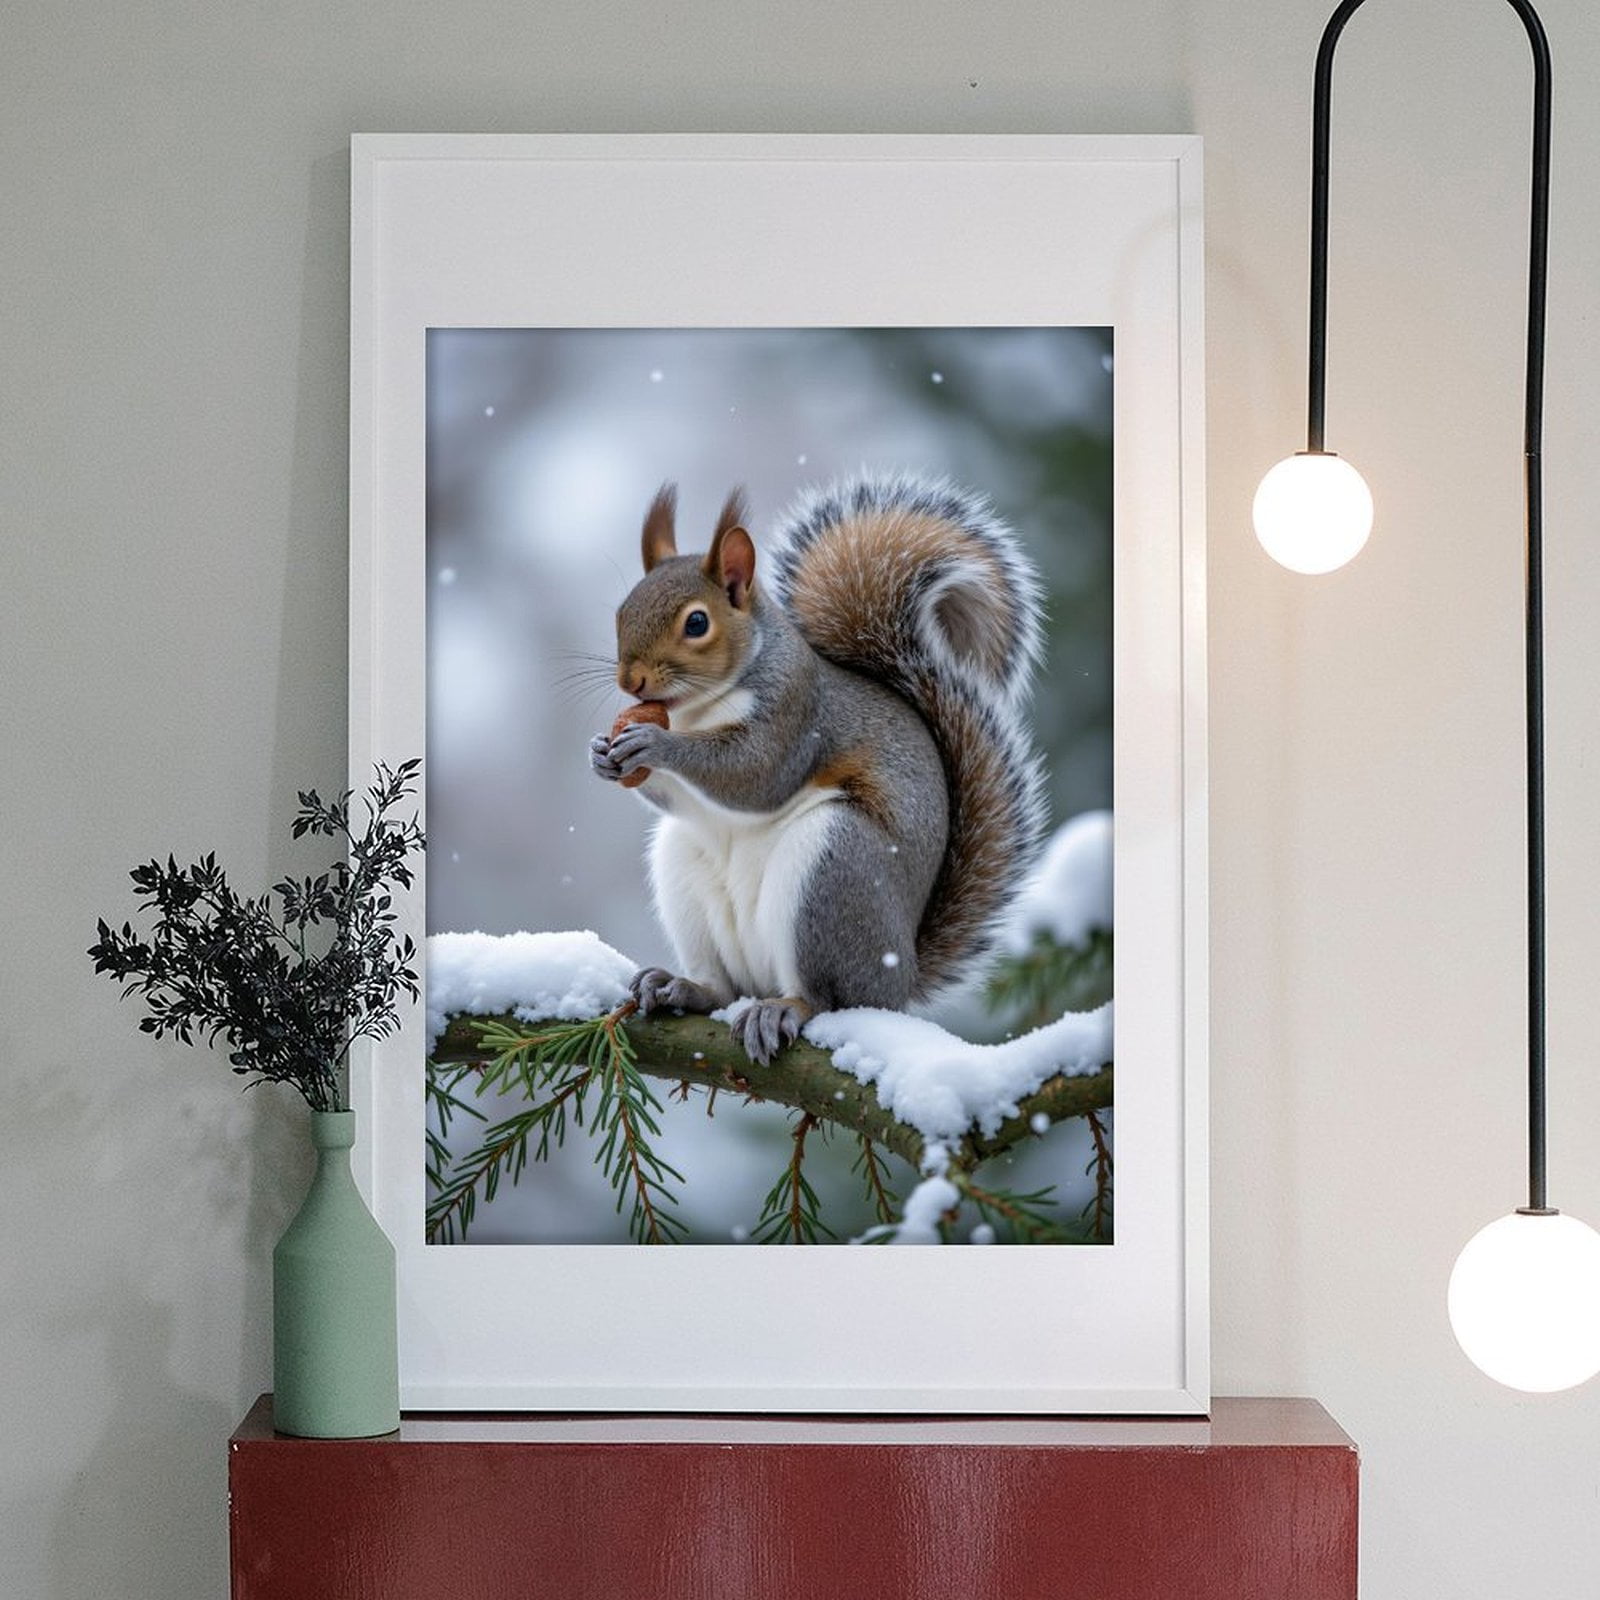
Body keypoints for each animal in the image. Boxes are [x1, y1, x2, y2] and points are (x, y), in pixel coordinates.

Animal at [589, 472, 1046, 1065]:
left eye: (697, 622)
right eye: (621, 612)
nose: (632, 681)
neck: (697, 709)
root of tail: (900, 983)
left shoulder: (795, 715)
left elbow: (754, 775)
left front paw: (656, 743)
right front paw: (601, 753)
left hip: (832, 866)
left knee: (827, 999)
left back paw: (783, 1009)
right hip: (682, 871)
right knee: (724, 990)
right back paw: (683, 986)